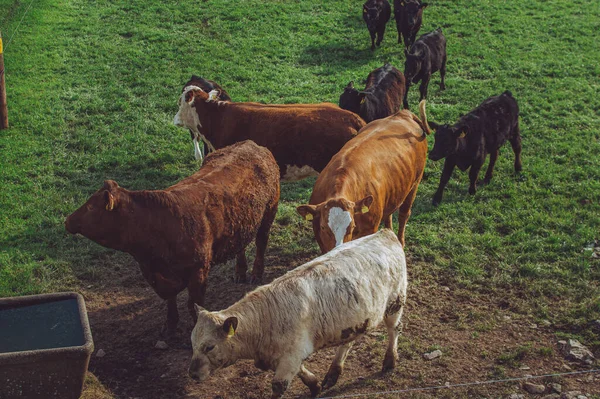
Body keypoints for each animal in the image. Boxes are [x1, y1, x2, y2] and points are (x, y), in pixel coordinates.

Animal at [65, 142, 282, 336]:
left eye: (91, 208)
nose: (67, 220)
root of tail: (254, 145)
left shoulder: (198, 271)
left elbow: (193, 304)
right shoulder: (156, 274)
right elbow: (170, 298)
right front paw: (170, 325)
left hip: (269, 212)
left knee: (261, 242)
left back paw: (256, 273)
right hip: (241, 222)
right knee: (241, 247)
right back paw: (240, 272)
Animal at [189, 228, 408, 399]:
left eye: (210, 346)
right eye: (192, 343)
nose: (192, 374)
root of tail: (385, 233)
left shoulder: (291, 356)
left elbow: (279, 386)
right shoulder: (286, 356)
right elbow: (302, 372)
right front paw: (315, 385)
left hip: (395, 303)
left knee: (394, 330)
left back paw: (389, 361)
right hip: (355, 317)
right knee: (348, 341)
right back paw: (333, 373)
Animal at [296, 101, 432, 253]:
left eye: (352, 227)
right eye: (324, 228)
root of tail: (404, 113)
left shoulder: (370, 229)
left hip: (415, 183)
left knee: (404, 213)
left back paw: (400, 242)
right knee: (390, 213)